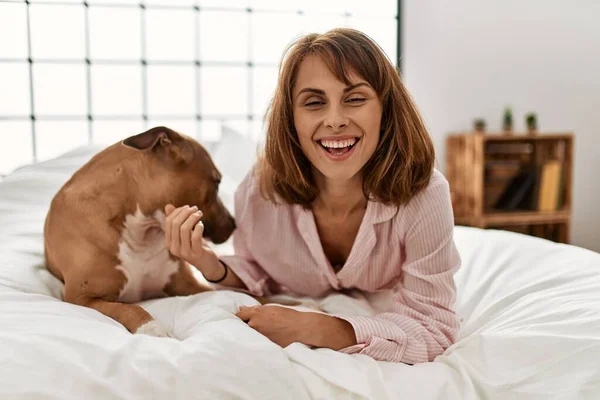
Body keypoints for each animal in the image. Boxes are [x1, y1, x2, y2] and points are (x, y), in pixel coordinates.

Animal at [44, 126, 237, 338]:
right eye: (217, 182)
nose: (234, 224)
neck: (142, 231)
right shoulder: (82, 298)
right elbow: (129, 308)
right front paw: (153, 327)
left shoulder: (189, 286)